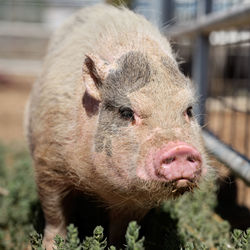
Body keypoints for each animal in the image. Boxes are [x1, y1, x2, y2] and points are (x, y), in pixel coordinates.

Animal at [25, 2, 209, 249]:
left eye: (188, 110)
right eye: (126, 112)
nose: (180, 148)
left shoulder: (137, 200)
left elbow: (123, 227)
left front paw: (118, 245)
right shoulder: (47, 161)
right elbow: (55, 214)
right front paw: (53, 245)